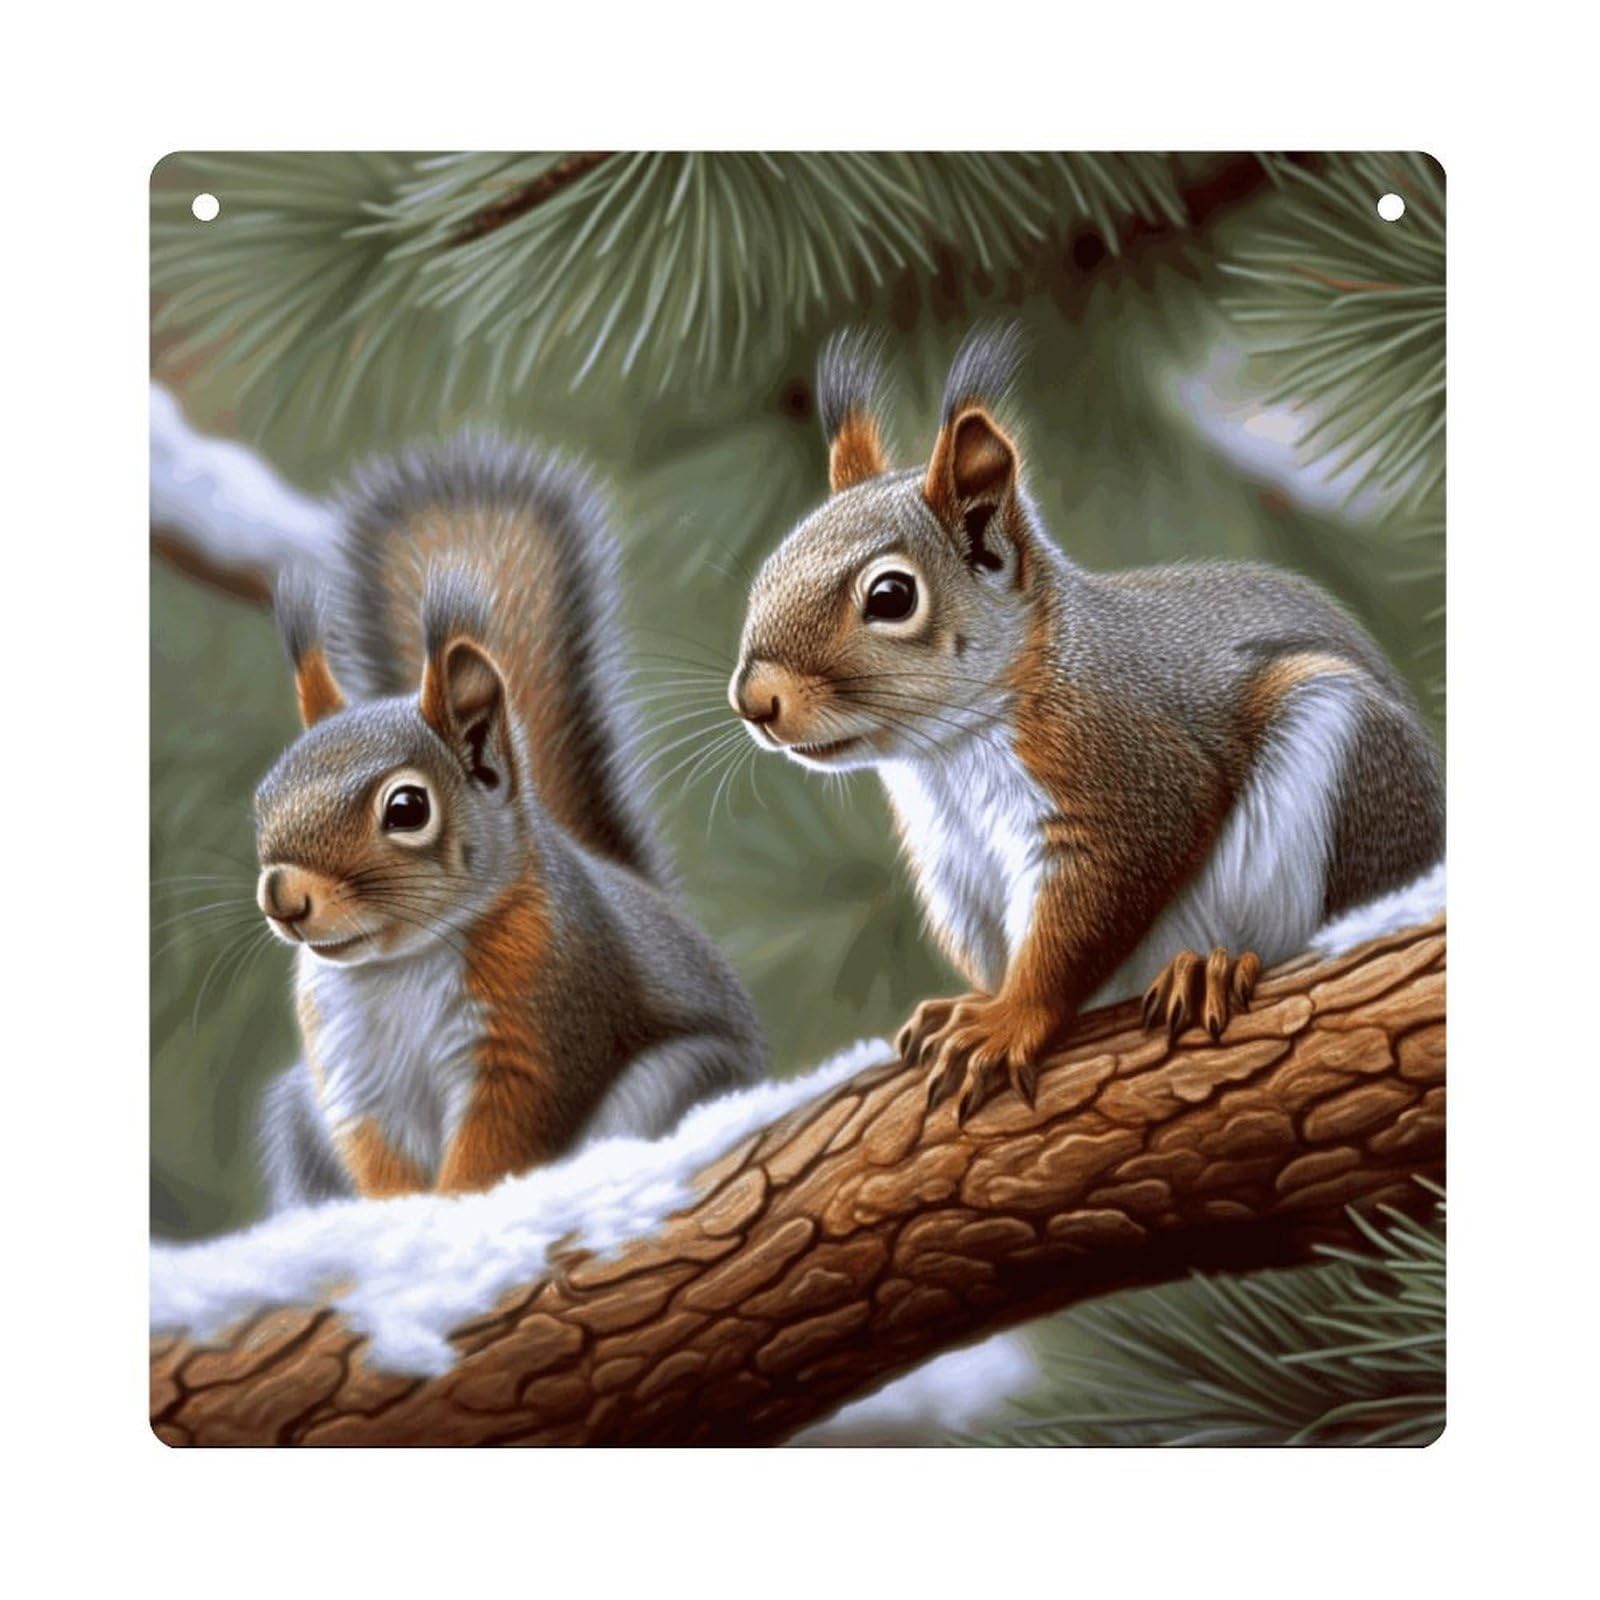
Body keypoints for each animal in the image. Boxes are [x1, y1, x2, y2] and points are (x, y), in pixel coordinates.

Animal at [252, 435, 764, 1209]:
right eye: (262, 800)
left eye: (407, 808)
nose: (284, 897)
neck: (398, 966)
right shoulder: (353, 1079)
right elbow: (380, 1165)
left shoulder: (534, 1029)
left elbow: (497, 1141)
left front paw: (461, 1210)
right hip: (295, 1116)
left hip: (675, 1081)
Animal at [730, 325, 1444, 1120]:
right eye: (767, 571)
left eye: (890, 596)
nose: (753, 701)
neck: (949, 752)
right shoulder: (955, 865)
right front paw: (968, 1004)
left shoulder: (1124, 779)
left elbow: (1076, 929)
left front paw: (1008, 1019)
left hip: (1349, 755)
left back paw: (1212, 966)